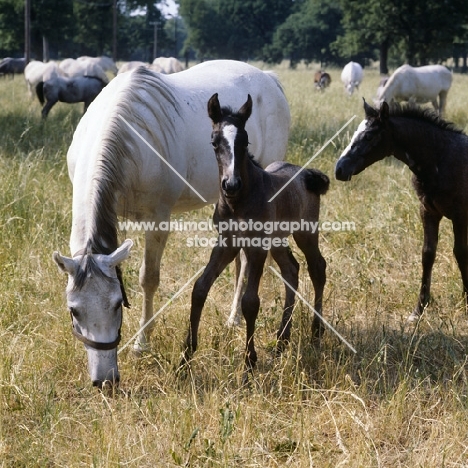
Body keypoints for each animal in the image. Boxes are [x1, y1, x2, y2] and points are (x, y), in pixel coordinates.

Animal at [53, 59, 290, 388]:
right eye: (73, 311)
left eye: (117, 304)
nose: (105, 380)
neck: (127, 136)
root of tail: (268, 78)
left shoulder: (158, 219)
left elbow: (148, 278)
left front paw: (142, 344)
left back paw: (234, 318)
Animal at [181, 94, 328, 376]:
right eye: (214, 142)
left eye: (245, 141)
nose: (231, 184)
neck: (238, 202)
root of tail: (305, 173)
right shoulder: (225, 244)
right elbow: (200, 288)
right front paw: (185, 358)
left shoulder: (256, 247)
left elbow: (250, 302)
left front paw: (249, 364)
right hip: (278, 240)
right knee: (291, 269)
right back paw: (282, 339)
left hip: (305, 232)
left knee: (317, 268)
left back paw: (316, 332)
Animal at [334, 99, 468, 322]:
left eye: (369, 135)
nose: (339, 169)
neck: (441, 157)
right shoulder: (428, 212)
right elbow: (427, 254)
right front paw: (419, 309)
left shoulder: (460, 216)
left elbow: (461, 253)